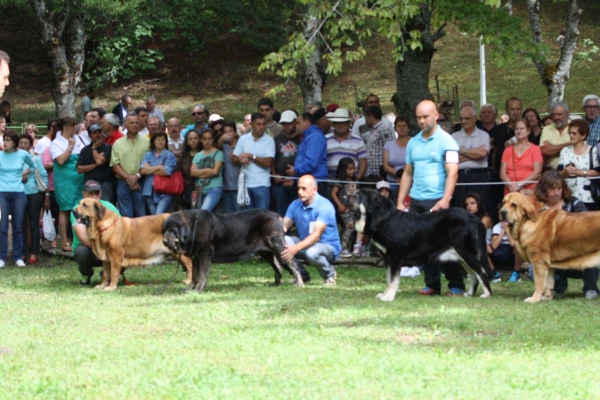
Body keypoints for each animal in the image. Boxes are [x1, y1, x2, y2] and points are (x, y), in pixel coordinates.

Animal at [162, 209, 304, 294]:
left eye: (172, 230)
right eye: (164, 230)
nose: (164, 241)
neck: (193, 228)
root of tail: (277, 216)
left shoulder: (204, 255)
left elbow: (201, 275)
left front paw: (198, 290)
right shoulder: (196, 257)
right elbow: (195, 276)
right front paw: (190, 288)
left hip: (277, 245)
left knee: (292, 263)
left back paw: (299, 283)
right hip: (266, 252)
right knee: (278, 267)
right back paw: (275, 284)